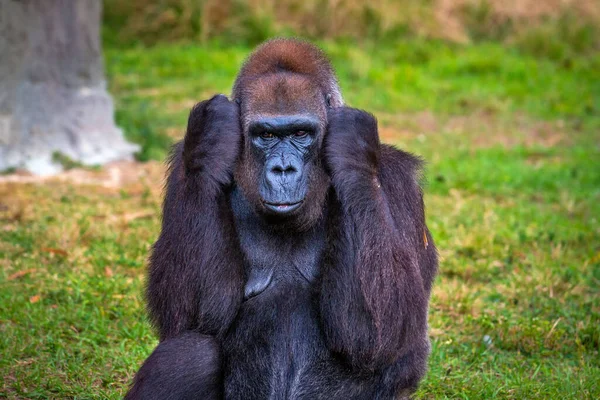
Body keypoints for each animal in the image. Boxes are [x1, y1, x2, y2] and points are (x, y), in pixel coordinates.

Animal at [125, 38, 436, 400]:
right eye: (267, 136)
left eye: (301, 133)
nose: (283, 169)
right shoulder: (182, 168)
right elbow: (190, 315)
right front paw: (210, 139)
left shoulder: (397, 178)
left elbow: (382, 335)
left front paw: (353, 152)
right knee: (191, 350)